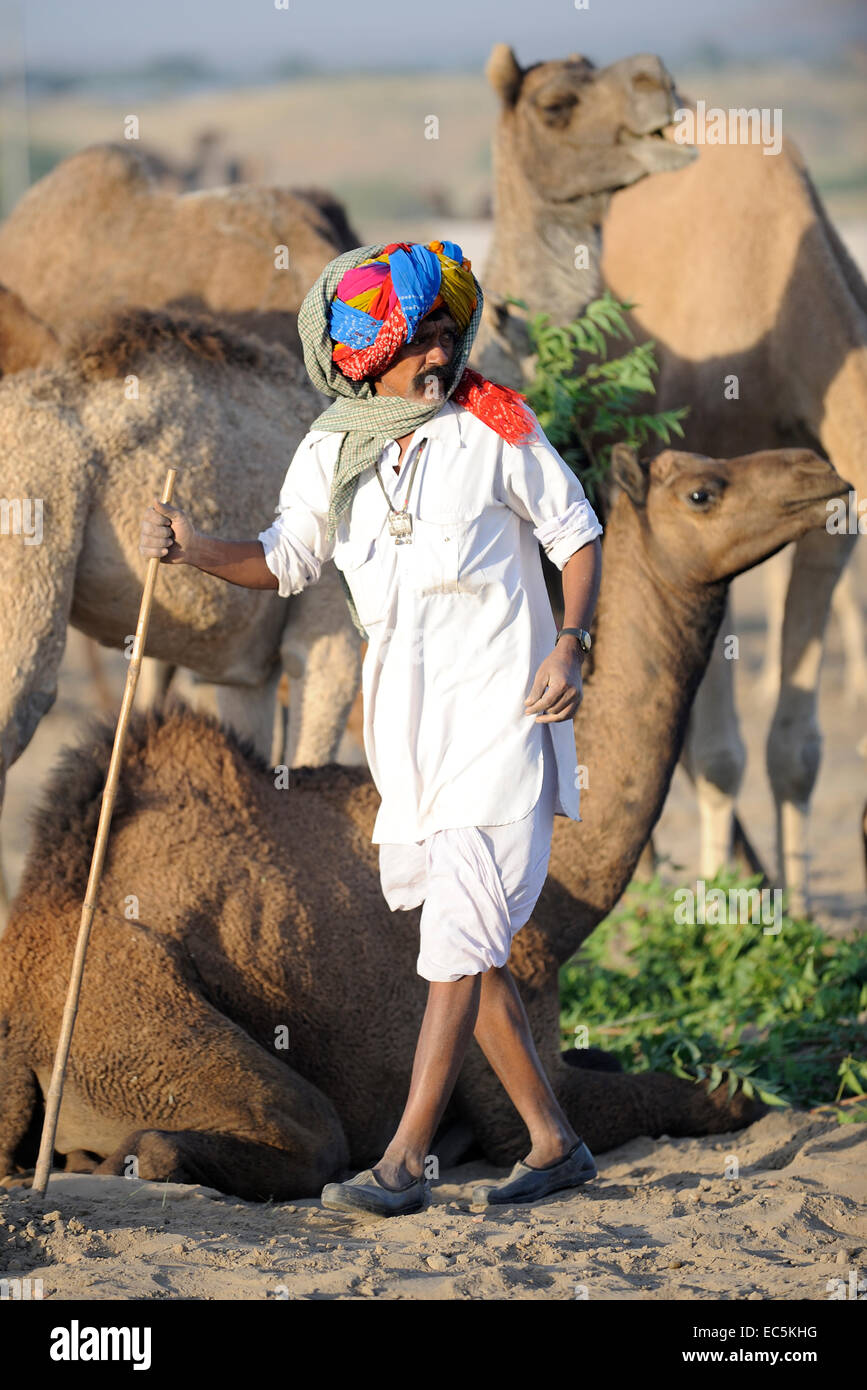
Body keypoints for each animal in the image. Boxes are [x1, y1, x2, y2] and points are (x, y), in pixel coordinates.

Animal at [0, 442, 844, 1195]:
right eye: (703, 491)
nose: (821, 472)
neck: (563, 890)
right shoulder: (513, 1053)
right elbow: (711, 1097)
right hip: (136, 1024)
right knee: (258, 1139)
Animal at [477, 43, 861, 917]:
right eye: (554, 104)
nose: (653, 79)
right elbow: (718, 751)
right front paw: (720, 906)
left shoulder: (833, 513)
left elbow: (795, 747)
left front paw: (794, 910)